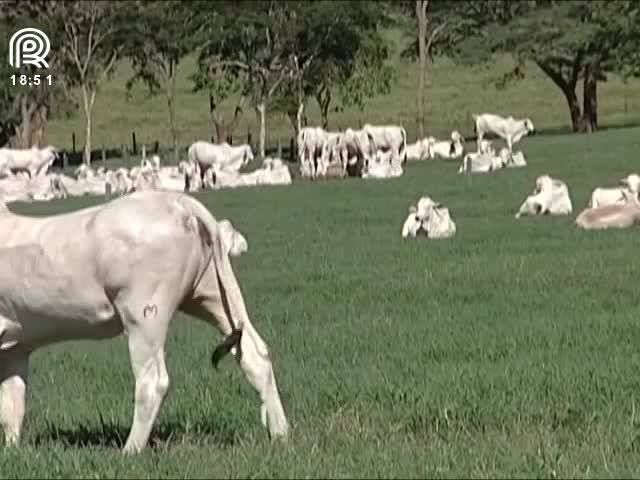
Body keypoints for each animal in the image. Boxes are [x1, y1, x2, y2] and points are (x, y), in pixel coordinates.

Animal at [0, 191, 290, 454]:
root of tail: (178, 200)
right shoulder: (16, 348)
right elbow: (13, 402)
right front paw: (12, 450)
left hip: (144, 316)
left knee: (152, 382)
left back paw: (130, 450)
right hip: (213, 295)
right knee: (255, 355)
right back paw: (280, 434)